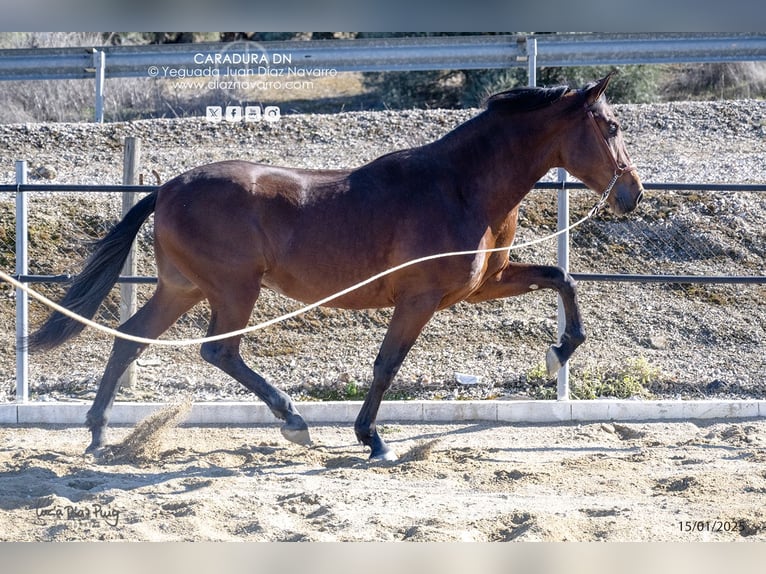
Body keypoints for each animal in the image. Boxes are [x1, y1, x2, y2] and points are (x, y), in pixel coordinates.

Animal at [28, 73, 640, 464]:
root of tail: (166, 188)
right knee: (218, 351)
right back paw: (293, 421)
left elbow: (561, 278)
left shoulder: (480, 285)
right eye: (610, 128)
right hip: (231, 289)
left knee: (129, 338)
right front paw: (373, 441)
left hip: (181, 288)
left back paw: (98, 435)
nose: (631, 194)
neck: (461, 186)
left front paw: (560, 351)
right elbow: (386, 366)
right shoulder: (418, 300)